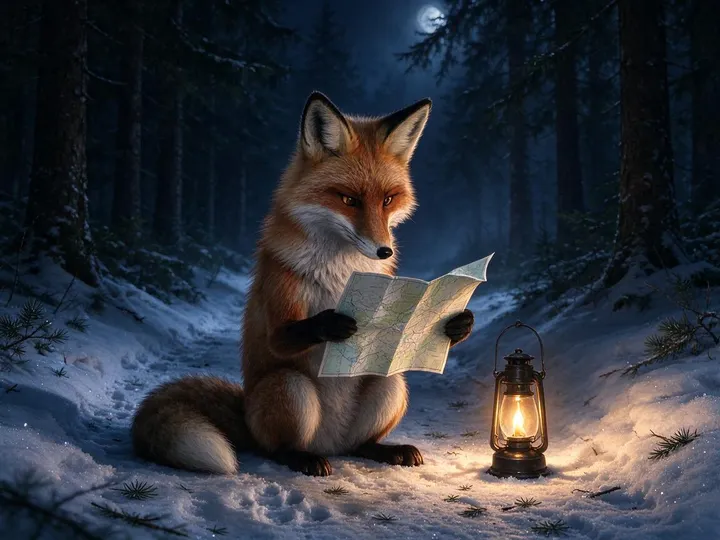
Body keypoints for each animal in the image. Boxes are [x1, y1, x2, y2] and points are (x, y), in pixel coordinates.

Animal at [131, 92, 475, 476]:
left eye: (388, 199)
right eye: (349, 199)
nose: (383, 251)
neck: (342, 272)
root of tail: (331, 445)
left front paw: (458, 325)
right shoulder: (280, 294)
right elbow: (285, 335)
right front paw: (332, 323)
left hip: (389, 382)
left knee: (362, 442)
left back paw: (383, 449)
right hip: (289, 386)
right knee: (275, 448)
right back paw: (302, 458)